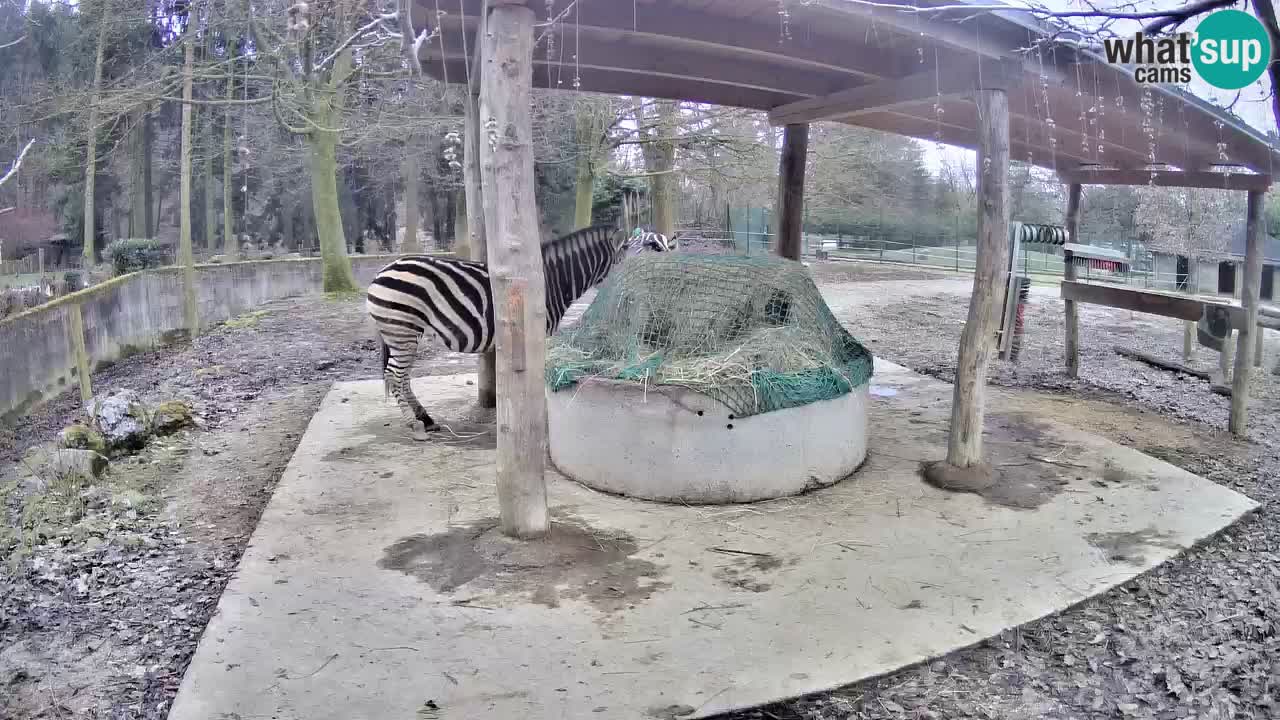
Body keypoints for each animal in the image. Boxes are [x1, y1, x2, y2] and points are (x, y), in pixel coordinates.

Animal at [366, 224, 675, 438]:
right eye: (652, 247)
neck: (555, 280)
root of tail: (381, 271)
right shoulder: (540, 331)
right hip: (402, 329)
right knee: (394, 375)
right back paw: (415, 425)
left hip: (404, 333)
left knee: (401, 376)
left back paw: (426, 419)